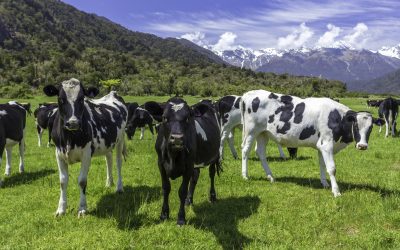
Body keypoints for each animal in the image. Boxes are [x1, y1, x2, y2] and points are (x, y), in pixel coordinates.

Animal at [42, 78, 127, 217]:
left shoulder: (86, 154)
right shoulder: (59, 153)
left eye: (82, 98)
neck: (69, 139)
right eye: (60, 98)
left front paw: (82, 208)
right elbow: (63, 181)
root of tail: (112, 93)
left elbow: (82, 181)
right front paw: (61, 209)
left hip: (120, 140)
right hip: (107, 144)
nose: (73, 123)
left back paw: (119, 187)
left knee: (118, 163)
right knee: (108, 159)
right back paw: (109, 183)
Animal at [154, 97, 222, 225]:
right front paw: (164, 215)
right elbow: (165, 188)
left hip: (215, 155)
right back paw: (188, 200)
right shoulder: (161, 164)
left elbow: (182, 191)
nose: (177, 139)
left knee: (212, 174)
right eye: (164, 117)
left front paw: (181, 218)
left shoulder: (188, 166)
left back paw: (212, 196)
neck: (173, 156)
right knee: (195, 177)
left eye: (187, 118)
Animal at [239, 90, 382, 197]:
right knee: (245, 150)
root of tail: (248, 94)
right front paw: (336, 191)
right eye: (356, 126)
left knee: (260, 152)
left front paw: (325, 184)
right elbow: (332, 168)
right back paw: (245, 176)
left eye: (370, 128)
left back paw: (271, 177)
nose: (362, 146)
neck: (337, 118)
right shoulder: (327, 144)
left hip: (263, 133)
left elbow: (322, 164)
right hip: (251, 131)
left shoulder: (321, 146)